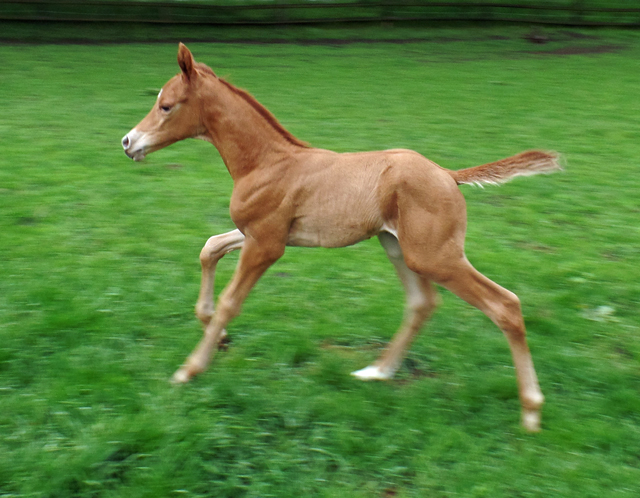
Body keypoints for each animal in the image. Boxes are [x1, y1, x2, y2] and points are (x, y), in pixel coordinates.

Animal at [121, 43, 560, 432]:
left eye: (166, 106)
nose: (128, 142)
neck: (266, 162)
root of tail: (449, 175)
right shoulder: (257, 234)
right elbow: (209, 248)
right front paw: (220, 336)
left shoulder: (266, 245)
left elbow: (231, 301)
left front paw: (189, 369)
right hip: (397, 246)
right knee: (422, 303)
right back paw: (378, 371)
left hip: (435, 256)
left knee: (505, 305)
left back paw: (532, 412)